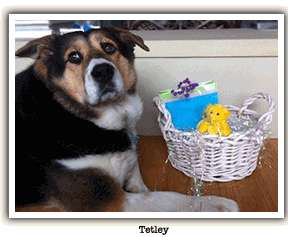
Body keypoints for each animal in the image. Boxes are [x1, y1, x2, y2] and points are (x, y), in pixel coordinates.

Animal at [15, 26, 238, 212]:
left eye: (108, 47)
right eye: (74, 56)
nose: (103, 71)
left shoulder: (132, 175)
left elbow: (145, 188)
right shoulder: (109, 201)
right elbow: (172, 198)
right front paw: (220, 204)